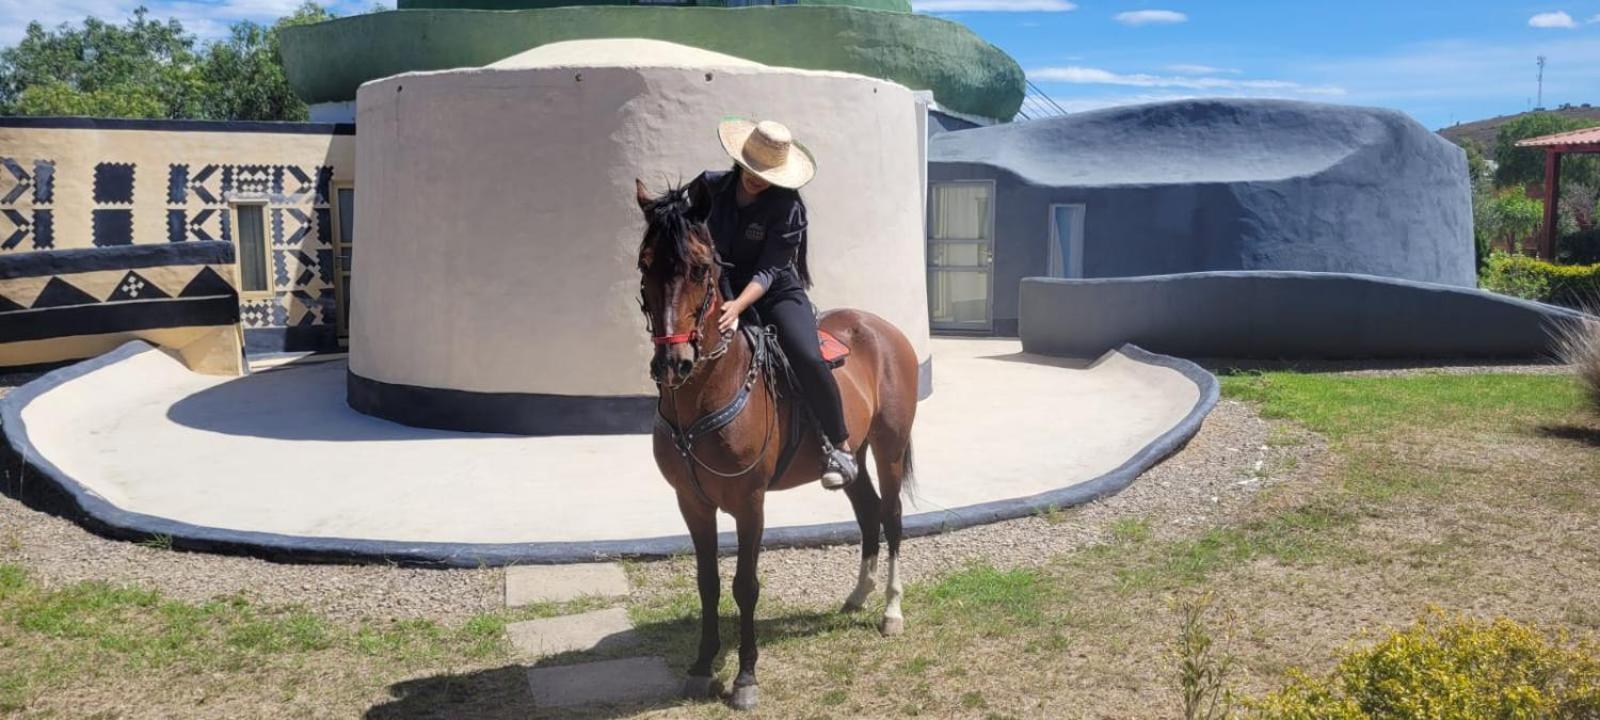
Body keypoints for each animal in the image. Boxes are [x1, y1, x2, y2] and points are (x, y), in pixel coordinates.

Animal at [633, 180, 921, 707]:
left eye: (700, 268)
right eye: (645, 265)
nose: (673, 362)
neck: (709, 393)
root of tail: (884, 329)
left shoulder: (750, 503)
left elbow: (745, 585)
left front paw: (745, 677)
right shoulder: (692, 503)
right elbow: (707, 583)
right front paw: (702, 666)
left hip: (890, 446)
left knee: (891, 517)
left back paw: (891, 610)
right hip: (854, 454)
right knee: (868, 511)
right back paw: (858, 595)